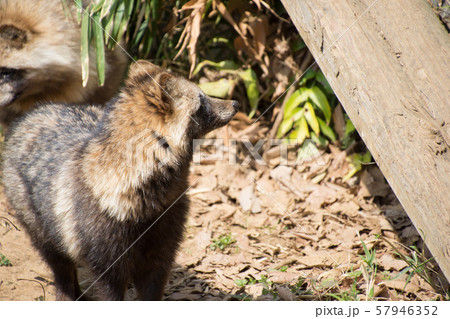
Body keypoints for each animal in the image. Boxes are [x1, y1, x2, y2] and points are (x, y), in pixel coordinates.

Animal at [2, 60, 239, 302]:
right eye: (202, 102)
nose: (235, 103)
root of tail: (36, 110)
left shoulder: (165, 232)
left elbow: (154, 283)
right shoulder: (104, 244)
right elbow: (109, 290)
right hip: (32, 213)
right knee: (57, 259)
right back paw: (66, 289)